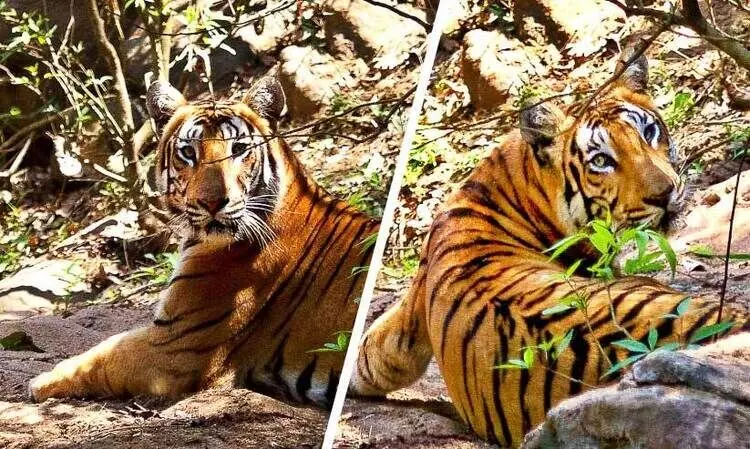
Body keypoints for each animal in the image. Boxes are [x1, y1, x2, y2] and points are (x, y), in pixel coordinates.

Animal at [29, 76, 379, 407]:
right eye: (188, 152)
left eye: (238, 149)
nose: (212, 202)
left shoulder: (175, 346)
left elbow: (102, 358)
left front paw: (41, 382)